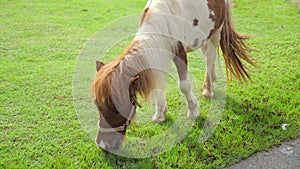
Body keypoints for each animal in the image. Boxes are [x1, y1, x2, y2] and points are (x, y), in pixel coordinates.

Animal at [92, 0, 254, 151]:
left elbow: (184, 86)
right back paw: (212, 79)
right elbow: (157, 86)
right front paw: (160, 114)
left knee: (209, 58)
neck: (163, 20)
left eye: (116, 108)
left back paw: (208, 90)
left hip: (216, 31)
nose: (103, 144)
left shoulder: (179, 52)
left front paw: (193, 111)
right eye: (97, 105)